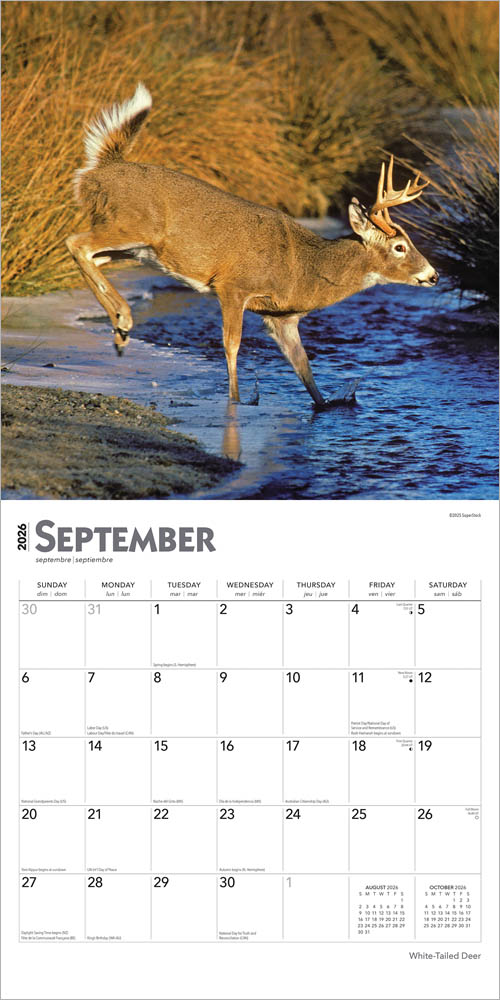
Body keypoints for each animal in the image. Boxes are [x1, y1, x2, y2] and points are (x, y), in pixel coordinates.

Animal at [66, 83, 438, 409]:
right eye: (400, 247)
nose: (433, 275)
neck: (302, 268)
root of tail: (102, 168)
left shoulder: (282, 317)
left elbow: (303, 366)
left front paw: (328, 404)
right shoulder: (233, 285)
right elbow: (232, 344)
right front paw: (236, 400)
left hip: (135, 247)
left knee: (92, 258)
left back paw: (119, 329)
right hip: (131, 225)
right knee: (76, 242)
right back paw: (125, 321)